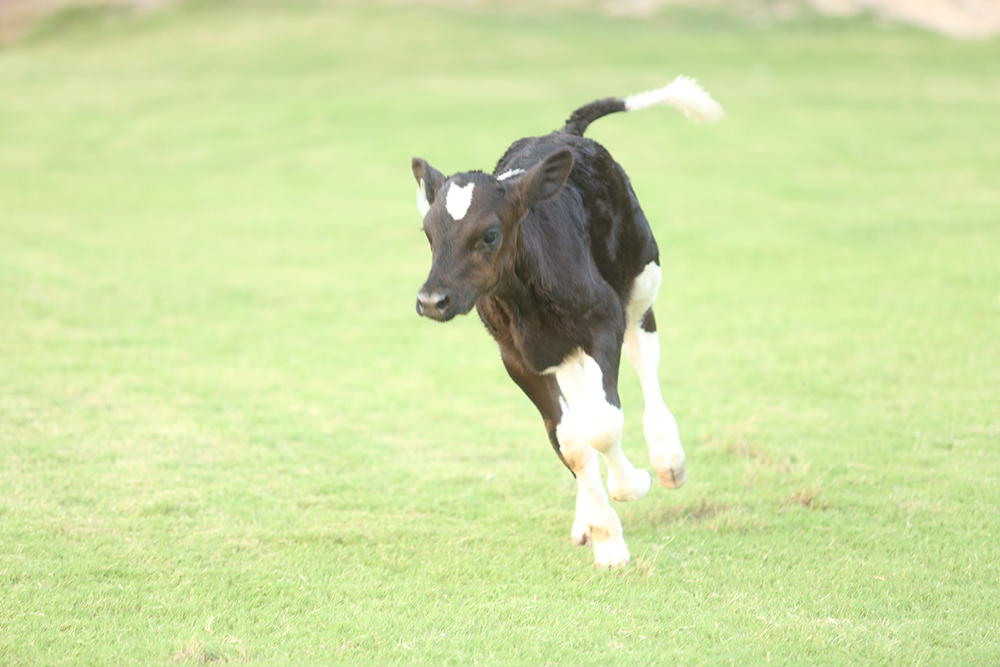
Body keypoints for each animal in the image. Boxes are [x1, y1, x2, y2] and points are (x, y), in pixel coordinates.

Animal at [411, 76, 723, 568]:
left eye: (490, 235)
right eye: (428, 234)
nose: (430, 300)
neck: (527, 301)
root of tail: (565, 132)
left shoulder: (602, 324)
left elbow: (603, 425)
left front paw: (631, 485)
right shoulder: (518, 358)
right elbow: (570, 442)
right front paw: (606, 538)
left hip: (640, 279)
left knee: (644, 355)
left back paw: (667, 459)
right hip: (565, 347)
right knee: (581, 404)